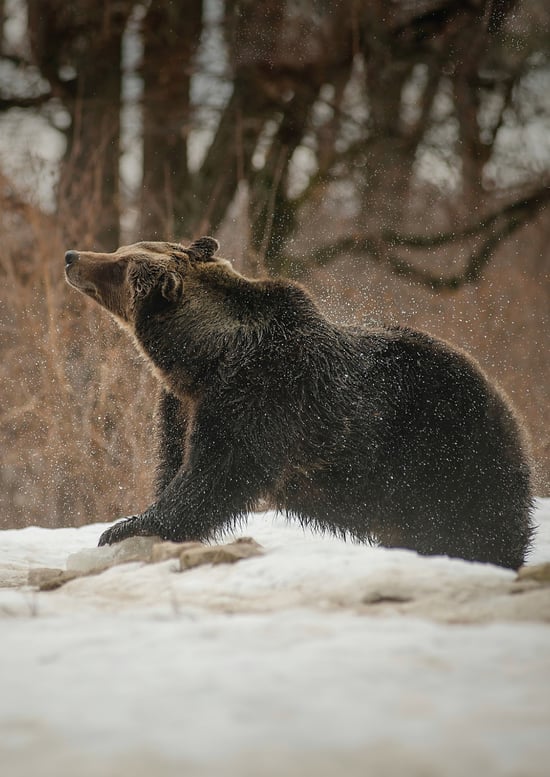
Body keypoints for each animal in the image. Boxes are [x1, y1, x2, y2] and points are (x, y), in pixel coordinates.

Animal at [64, 237, 534, 569]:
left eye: (121, 264)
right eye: (122, 250)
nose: (72, 256)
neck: (203, 360)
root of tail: (502, 399)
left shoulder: (260, 396)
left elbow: (216, 474)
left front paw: (125, 528)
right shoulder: (182, 405)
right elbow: (175, 462)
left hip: (447, 455)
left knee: (477, 527)